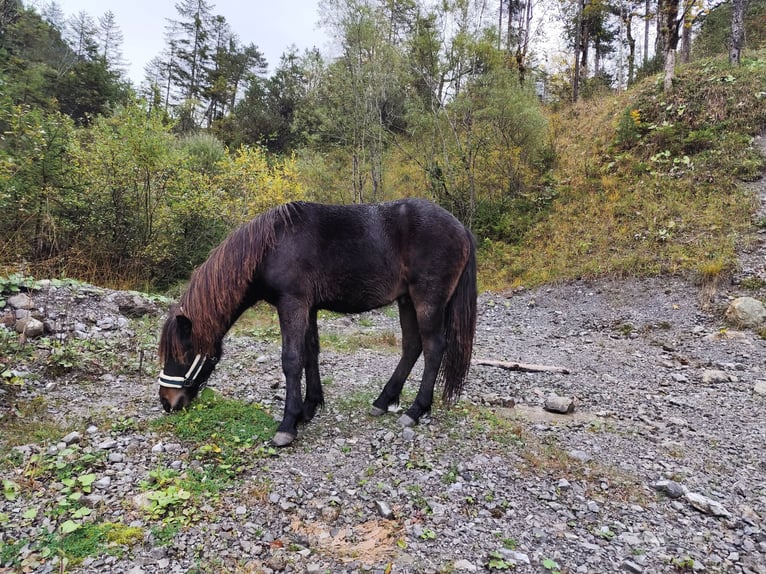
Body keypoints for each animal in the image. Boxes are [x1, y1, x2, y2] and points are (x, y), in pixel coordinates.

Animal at [158, 198, 477, 447]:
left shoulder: (293, 303)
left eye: (183, 353)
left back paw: (415, 410)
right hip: (407, 300)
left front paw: (288, 425)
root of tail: (461, 227)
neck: (272, 246)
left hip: (427, 300)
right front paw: (308, 408)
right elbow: (310, 354)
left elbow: (292, 359)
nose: (167, 402)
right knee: (412, 346)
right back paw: (383, 402)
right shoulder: (307, 307)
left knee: (434, 347)